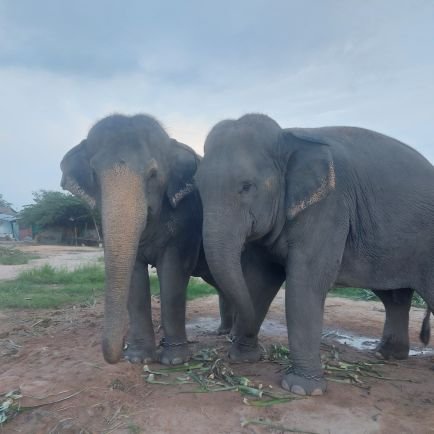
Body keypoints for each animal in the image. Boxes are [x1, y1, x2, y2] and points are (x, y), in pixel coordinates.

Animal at [197, 112, 434, 396]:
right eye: (197, 186)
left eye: (247, 186)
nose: (230, 335)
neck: (287, 138)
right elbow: (259, 280)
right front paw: (244, 359)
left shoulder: (330, 207)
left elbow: (306, 281)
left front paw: (301, 389)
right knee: (395, 298)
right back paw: (386, 356)